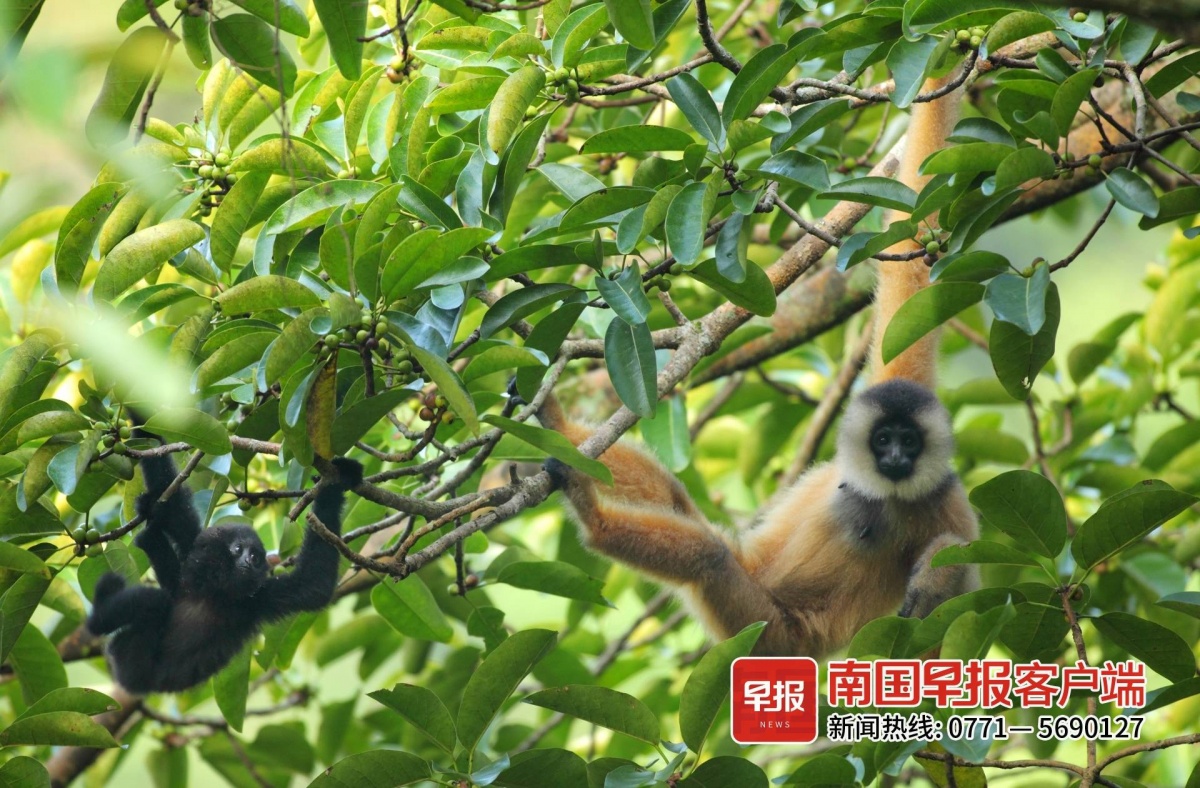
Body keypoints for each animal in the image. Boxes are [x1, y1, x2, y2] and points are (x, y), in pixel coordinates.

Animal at [86, 446, 363, 694]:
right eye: (238, 549)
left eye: (256, 556)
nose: (249, 561)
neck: (216, 592)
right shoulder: (194, 562)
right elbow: (174, 503)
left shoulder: (259, 598)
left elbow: (314, 584)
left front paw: (336, 481)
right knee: (151, 600)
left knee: (153, 598)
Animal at [539, 72, 979, 658]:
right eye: (884, 439)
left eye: (909, 442)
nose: (895, 458)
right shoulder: (895, 375)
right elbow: (911, 253)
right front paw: (939, 68)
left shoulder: (947, 503)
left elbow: (957, 586)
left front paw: (934, 579)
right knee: (677, 501)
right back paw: (560, 431)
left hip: (767, 633)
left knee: (710, 559)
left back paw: (593, 522)